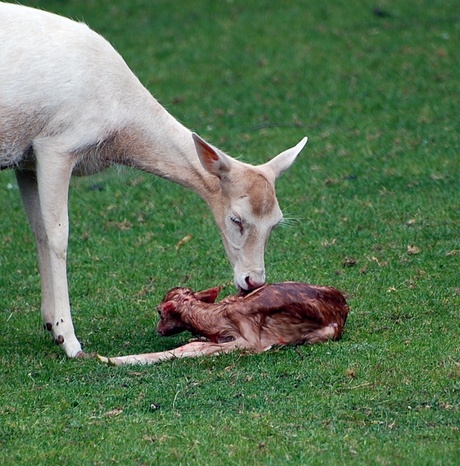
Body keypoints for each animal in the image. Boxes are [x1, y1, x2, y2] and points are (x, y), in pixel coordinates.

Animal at [0, 3, 310, 358]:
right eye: (236, 219)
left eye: (276, 222)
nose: (254, 282)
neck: (118, 130)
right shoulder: (56, 145)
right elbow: (58, 236)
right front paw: (70, 340)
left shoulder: (26, 159)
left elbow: (38, 231)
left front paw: (51, 326)